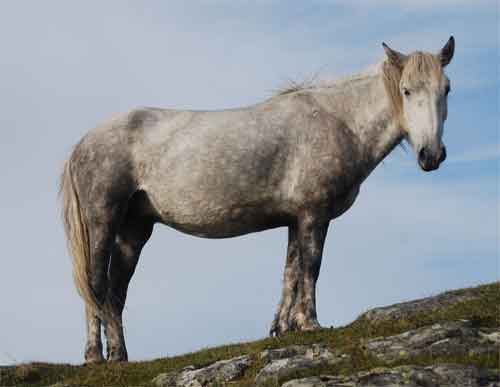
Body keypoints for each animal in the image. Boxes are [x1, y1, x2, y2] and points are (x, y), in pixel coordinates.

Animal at [60, 38, 456, 362]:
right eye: (406, 90)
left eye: (447, 89)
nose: (431, 155)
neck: (339, 121)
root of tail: (83, 142)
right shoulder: (314, 215)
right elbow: (311, 267)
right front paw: (310, 323)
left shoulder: (296, 218)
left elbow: (290, 273)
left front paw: (282, 328)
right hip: (102, 221)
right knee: (95, 285)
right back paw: (95, 356)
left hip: (135, 230)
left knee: (115, 291)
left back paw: (120, 356)